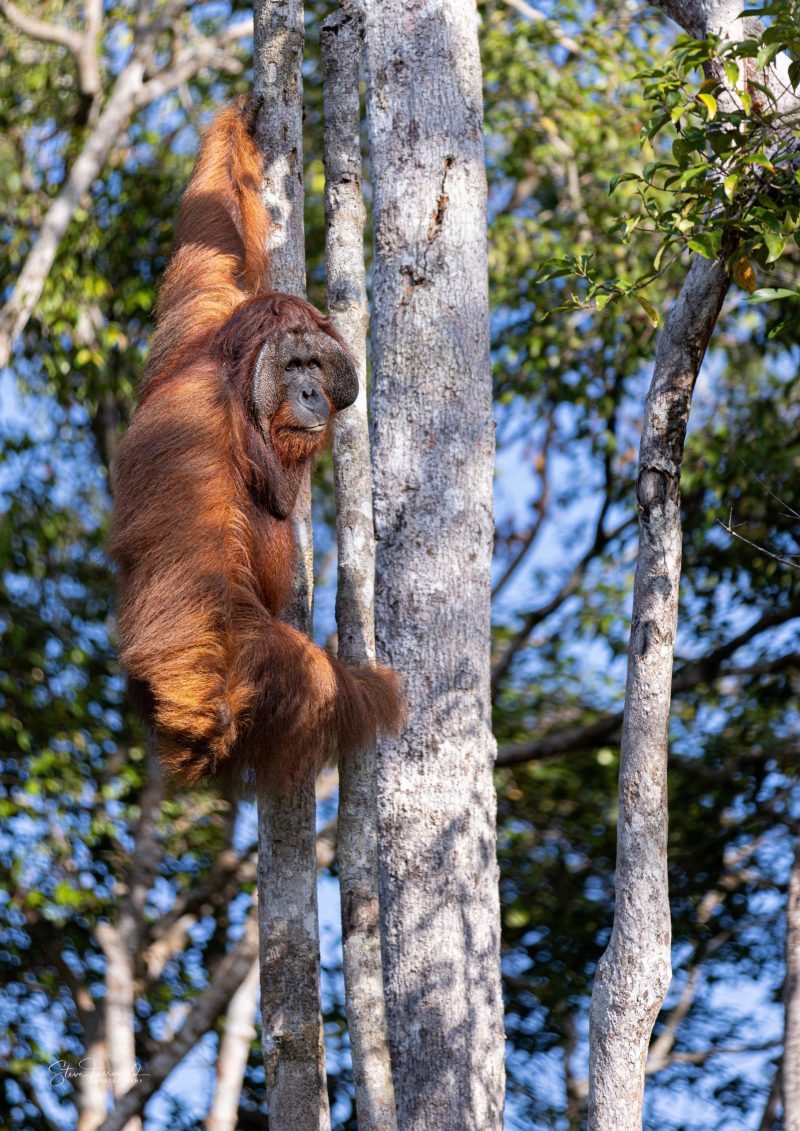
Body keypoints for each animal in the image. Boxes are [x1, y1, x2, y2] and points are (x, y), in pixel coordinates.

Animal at [108, 97, 404, 789]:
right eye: (293, 367)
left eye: (317, 366)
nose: (313, 393)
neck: (237, 389)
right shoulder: (192, 426)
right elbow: (185, 593)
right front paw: (195, 729)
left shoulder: (204, 315)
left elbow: (211, 244)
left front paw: (240, 120)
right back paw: (364, 697)